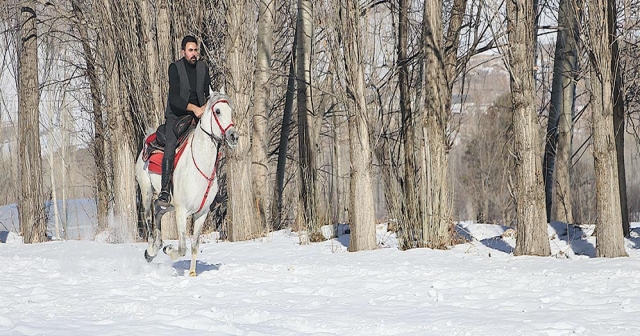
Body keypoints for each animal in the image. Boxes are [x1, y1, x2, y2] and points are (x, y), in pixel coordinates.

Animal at [135, 92, 238, 276]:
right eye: (217, 111)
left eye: (230, 110)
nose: (233, 136)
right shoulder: (181, 212)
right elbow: (182, 248)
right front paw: (168, 250)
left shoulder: (201, 213)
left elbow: (195, 245)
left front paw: (192, 273)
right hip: (147, 191)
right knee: (148, 217)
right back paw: (151, 250)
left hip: (169, 203)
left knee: (158, 210)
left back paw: (157, 245)